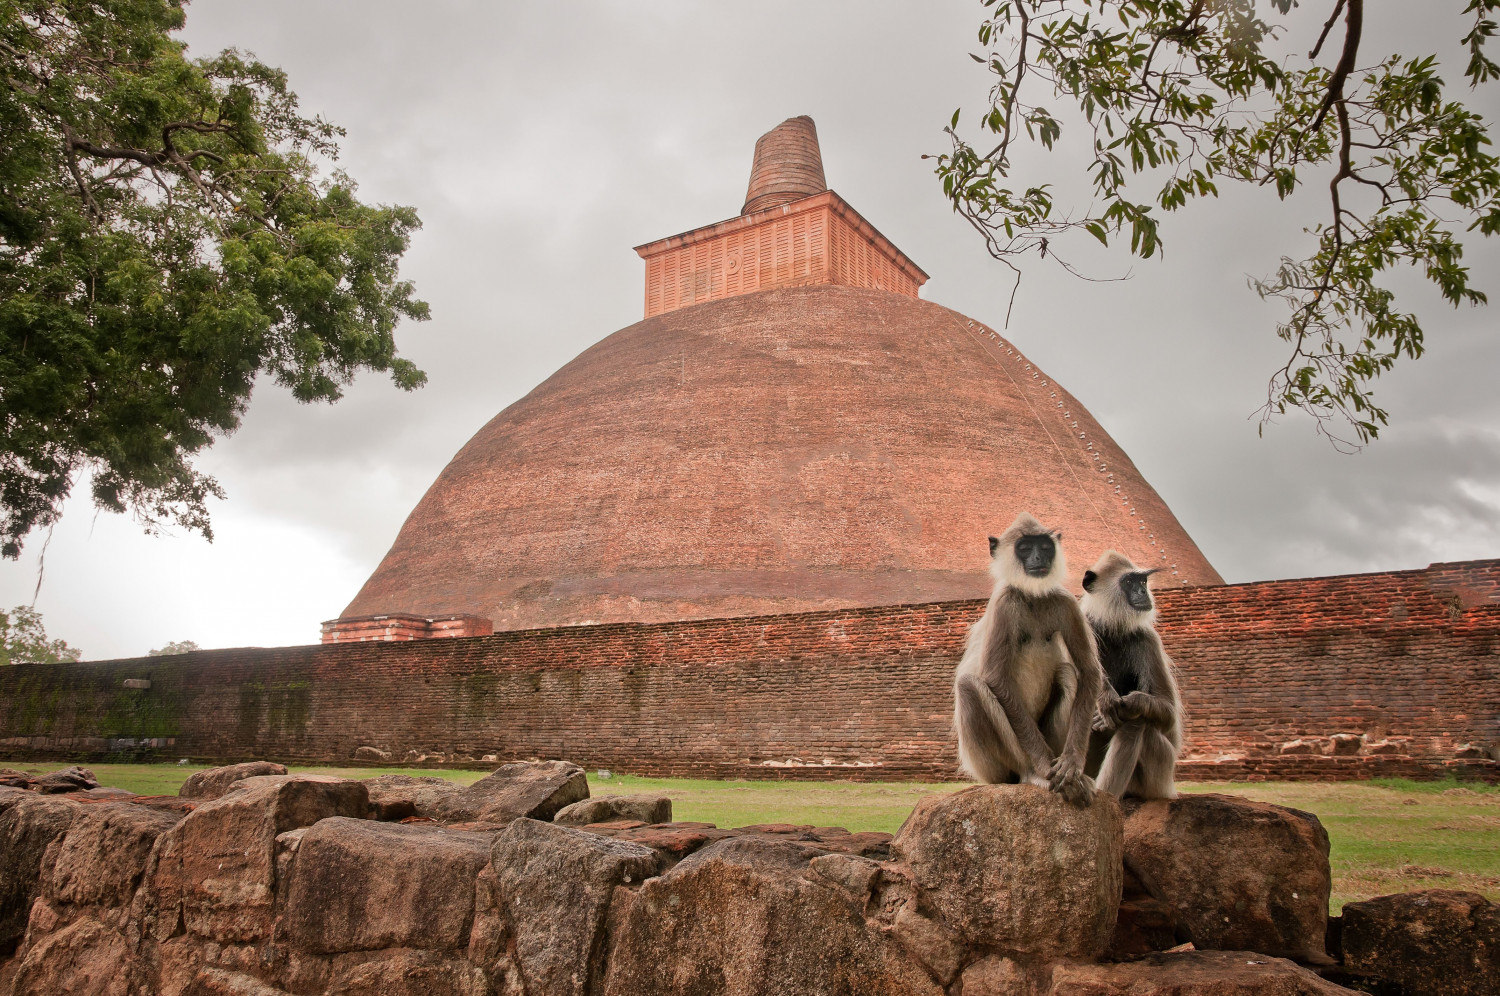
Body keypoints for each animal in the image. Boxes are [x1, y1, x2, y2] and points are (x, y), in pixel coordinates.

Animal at [954, 510, 1110, 804]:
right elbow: (996, 678)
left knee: (1067, 673)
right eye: (1025, 548)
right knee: (969, 685)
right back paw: (1032, 773)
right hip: (988, 768)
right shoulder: (1004, 603)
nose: (1038, 558)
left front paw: (1072, 764)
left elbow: (1088, 670)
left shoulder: (1066, 602)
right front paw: (1044, 767)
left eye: (1045, 547)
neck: (1033, 596)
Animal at [1080, 552, 1182, 804]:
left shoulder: (1147, 639)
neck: (1111, 626)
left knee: (1138, 722)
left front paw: (1129, 702)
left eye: (1142, 581)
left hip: (1159, 778)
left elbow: (1168, 714)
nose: (1143, 592)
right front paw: (1105, 695)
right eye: (1129, 582)